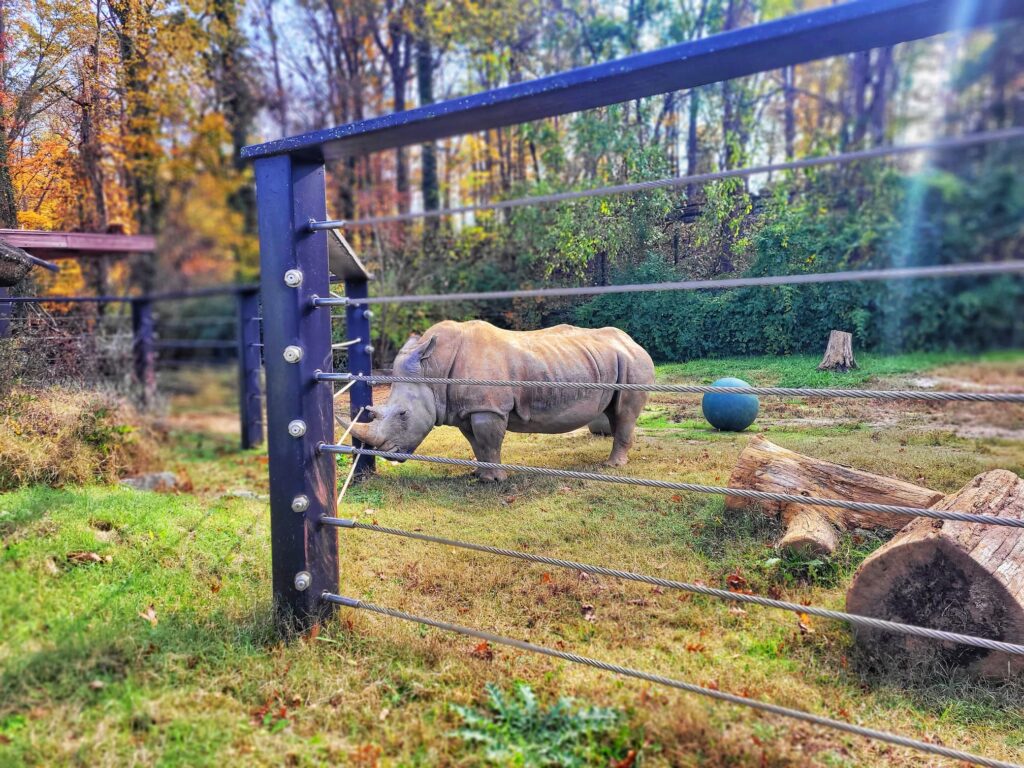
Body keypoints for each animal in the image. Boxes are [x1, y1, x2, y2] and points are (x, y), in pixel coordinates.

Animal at [337, 319, 655, 481]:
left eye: (403, 414)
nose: (388, 454)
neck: (433, 371)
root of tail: (634, 341)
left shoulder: (488, 409)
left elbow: (489, 443)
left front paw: (498, 480)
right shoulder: (466, 410)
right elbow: (476, 445)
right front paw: (481, 475)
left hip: (634, 361)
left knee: (625, 412)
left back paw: (613, 467)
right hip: (613, 360)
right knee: (614, 411)